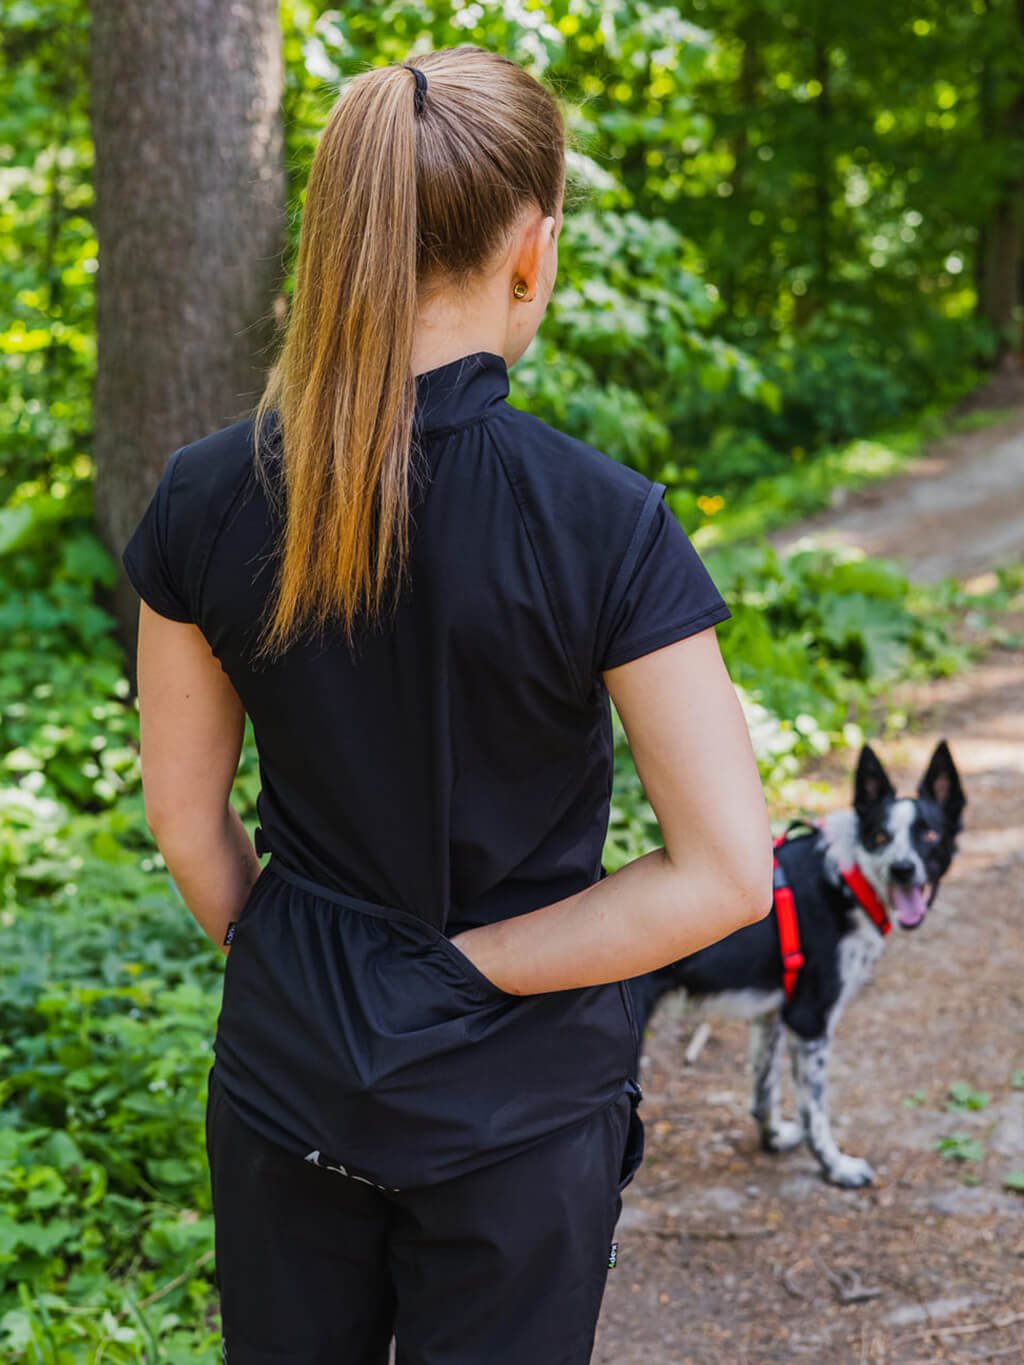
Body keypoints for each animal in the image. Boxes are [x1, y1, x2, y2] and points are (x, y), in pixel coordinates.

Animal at [625, 748, 972, 1184]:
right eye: (880, 837)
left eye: (929, 835)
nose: (902, 869)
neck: (848, 880)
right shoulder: (810, 1021)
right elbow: (814, 1111)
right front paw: (836, 1166)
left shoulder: (773, 1013)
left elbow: (764, 1089)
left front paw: (772, 1139)